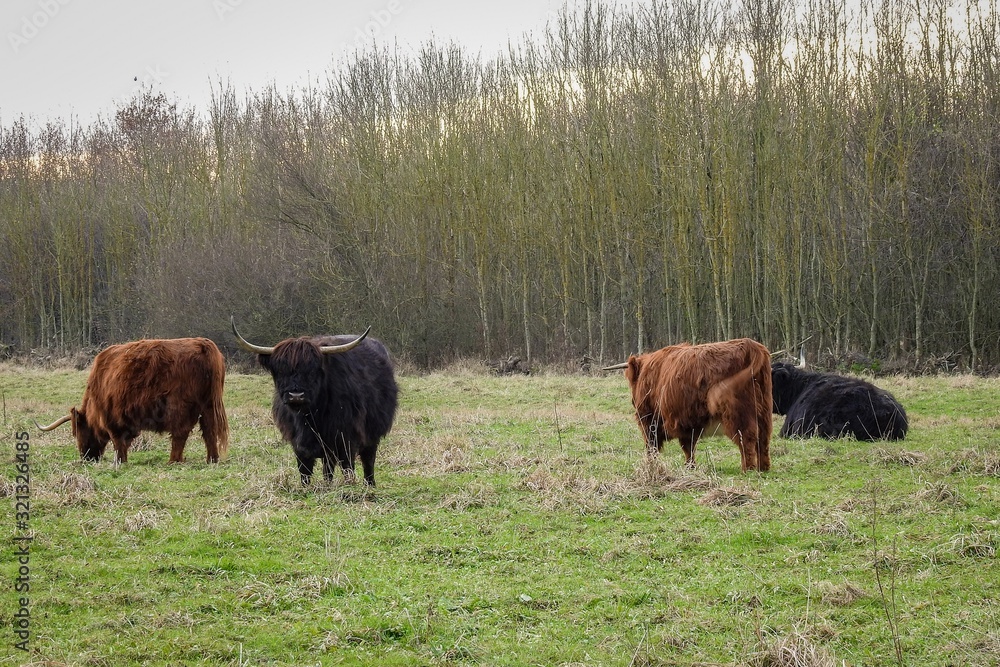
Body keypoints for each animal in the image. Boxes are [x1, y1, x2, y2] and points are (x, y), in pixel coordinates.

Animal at [36, 338, 229, 463]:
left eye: (77, 432)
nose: (86, 457)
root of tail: (204, 345)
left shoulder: (112, 420)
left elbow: (118, 444)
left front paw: (120, 462)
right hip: (209, 406)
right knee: (209, 431)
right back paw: (212, 459)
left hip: (180, 406)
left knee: (180, 433)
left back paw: (174, 460)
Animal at [231, 317, 398, 486]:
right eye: (281, 370)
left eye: (312, 370)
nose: (296, 395)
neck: (309, 417)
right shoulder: (299, 445)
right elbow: (305, 472)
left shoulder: (346, 439)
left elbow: (348, 468)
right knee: (328, 468)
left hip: (372, 433)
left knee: (368, 460)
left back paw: (370, 485)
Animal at [605, 338, 773, 472]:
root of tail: (751, 345)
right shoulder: (688, 424)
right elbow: (689, 446)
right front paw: (690, 466)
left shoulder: (652, 421)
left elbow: (662, 447)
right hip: (764, 412)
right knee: (763, 439)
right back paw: (763, 468)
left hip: (738, 413)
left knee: (747, 438)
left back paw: (748, 468)